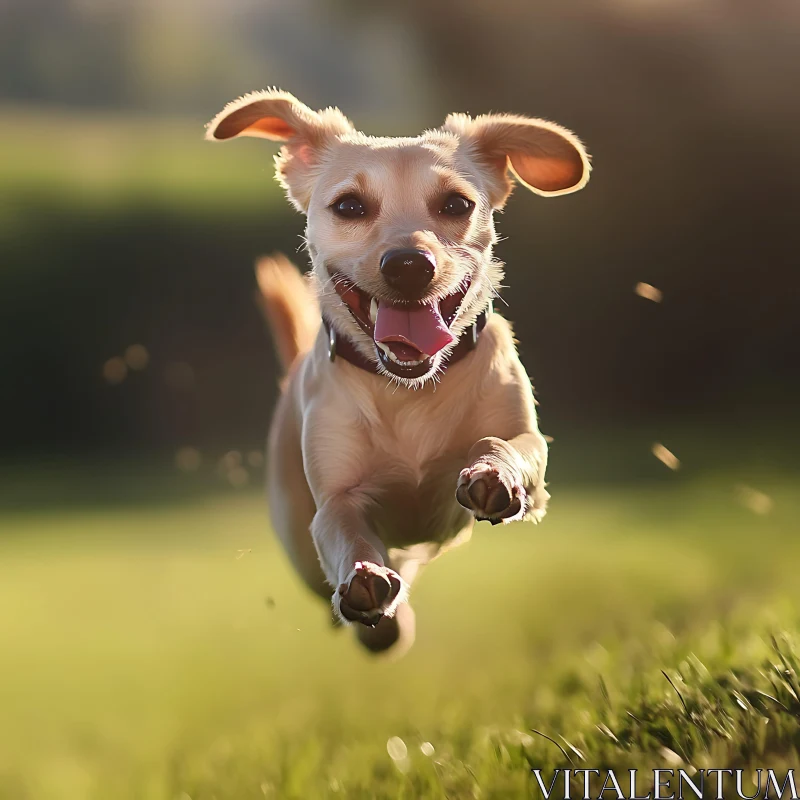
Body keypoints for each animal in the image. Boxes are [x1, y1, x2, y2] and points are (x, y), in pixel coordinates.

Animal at [206, 90, 592, 656]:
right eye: (349, 205)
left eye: (456, 204)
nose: (410, 264)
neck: (408, 388)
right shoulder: (336, 501)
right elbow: (345, 528)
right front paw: (363, 577)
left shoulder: (529, 447)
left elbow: (509, 444)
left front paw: (492, 471)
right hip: (297, 539)